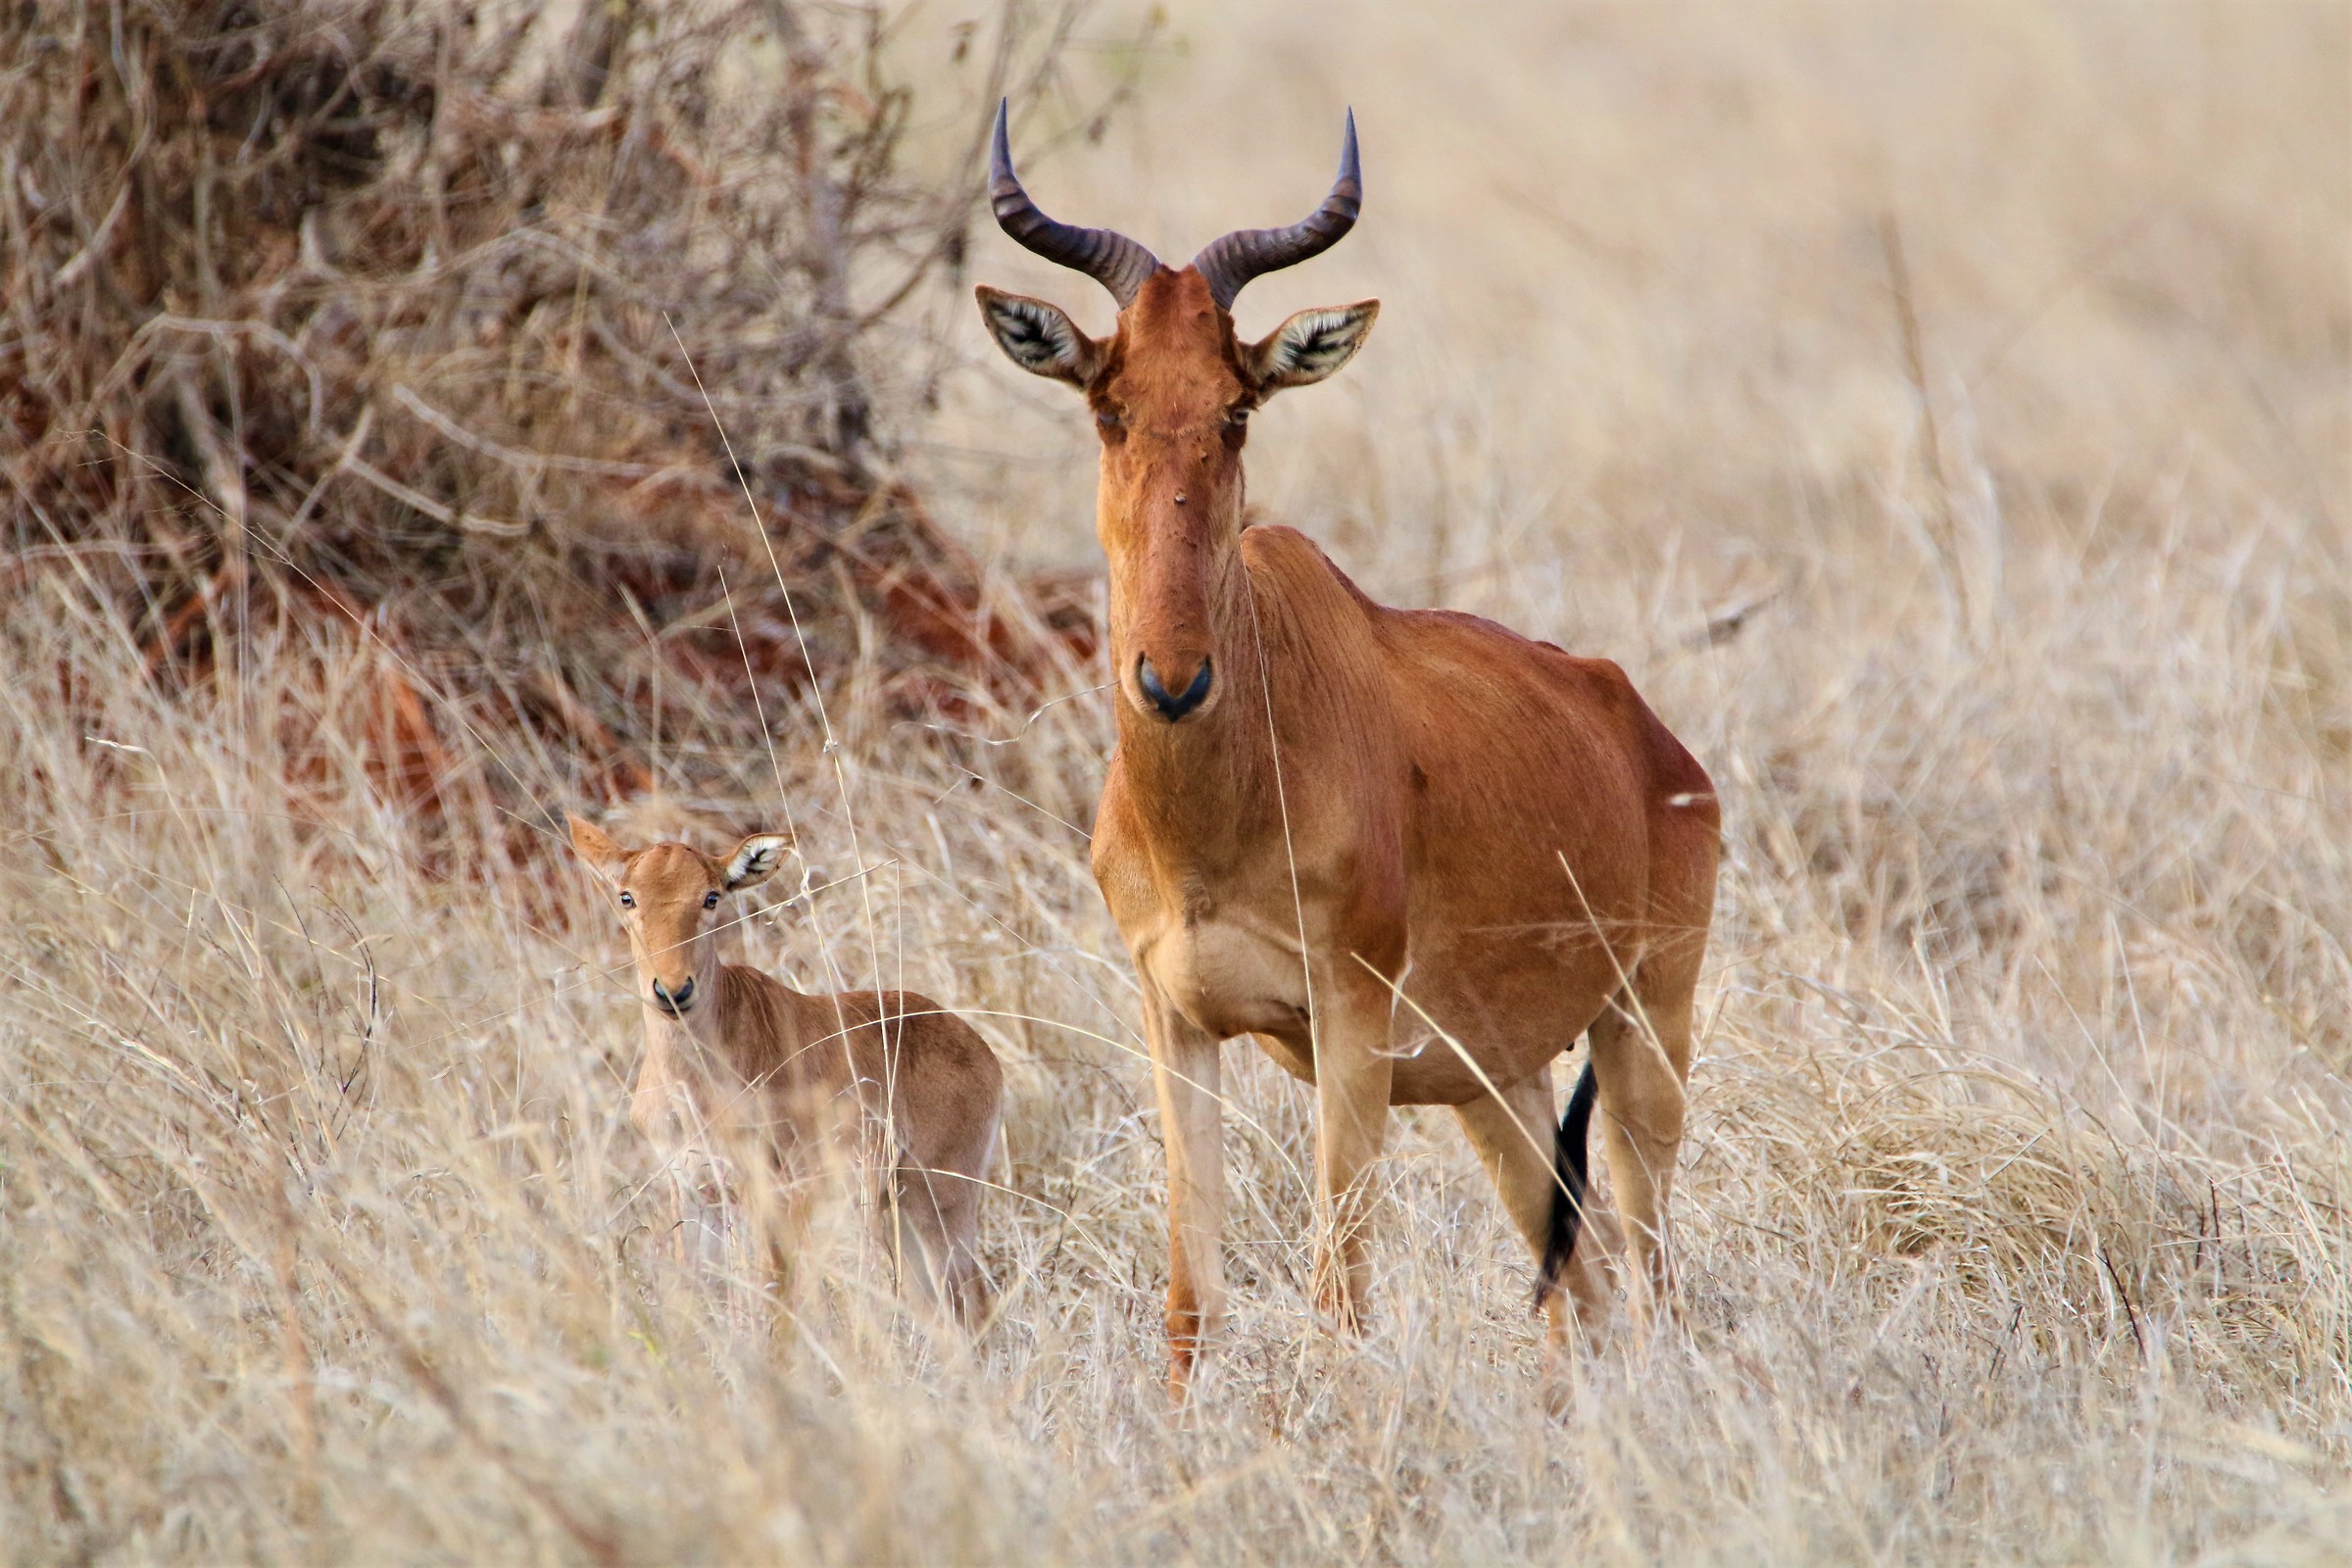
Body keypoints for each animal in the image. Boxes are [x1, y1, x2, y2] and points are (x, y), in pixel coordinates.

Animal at [573, 817, 1006, 1335]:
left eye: (711, 896)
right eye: (627, 896)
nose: (674, 991)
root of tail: (978, 1047)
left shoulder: (770, 1191)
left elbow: (770, 1296)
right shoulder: (694, 1190)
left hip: (937, 1200)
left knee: (972, 1305)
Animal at [973, 104, 1731, 1392]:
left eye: (1237, 407)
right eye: (1107, 404)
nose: (1172, 680)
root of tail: (1649, 736)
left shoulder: (1350, 1021)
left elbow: (1339, 1296)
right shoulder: (1173, 1020)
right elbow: (1191, 1296)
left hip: (1644, 1030)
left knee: (1652, 1273)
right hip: (1497, 1079)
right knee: (1576, 1286)